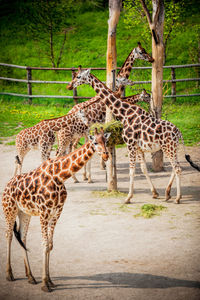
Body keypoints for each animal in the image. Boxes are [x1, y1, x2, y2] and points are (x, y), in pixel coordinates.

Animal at [1, 127, 110, 292]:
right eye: (95, 142)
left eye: (106, 141)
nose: (106, 154)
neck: (59, 176)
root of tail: (6, 186)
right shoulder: (44, 212)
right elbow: (45, 244)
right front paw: (45, 284)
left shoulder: (57, 211)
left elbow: (50, 245)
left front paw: (50, 281)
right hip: (9, 209)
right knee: (8, 235)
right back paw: (9, 274)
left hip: (25, 213)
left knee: (22, 237)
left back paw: (31, 277)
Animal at [57, 42, 154, 183]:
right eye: (142, 52)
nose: (152, 59)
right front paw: (100, 171)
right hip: (71, 136)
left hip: (74, 136)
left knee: (69, 149)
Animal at [66, 67, 199, 204]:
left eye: (78, 76)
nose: (69, 85)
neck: (125, 114)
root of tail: (179, 132)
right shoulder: (138, 147)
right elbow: (143, 169)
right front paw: (155, 193)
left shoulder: (130, 144)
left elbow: (132, 171)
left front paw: (128, 197)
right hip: (171, 148)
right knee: (175, 167)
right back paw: (168, 194)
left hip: (169, 147)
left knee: (177, 168)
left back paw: (177, 198)